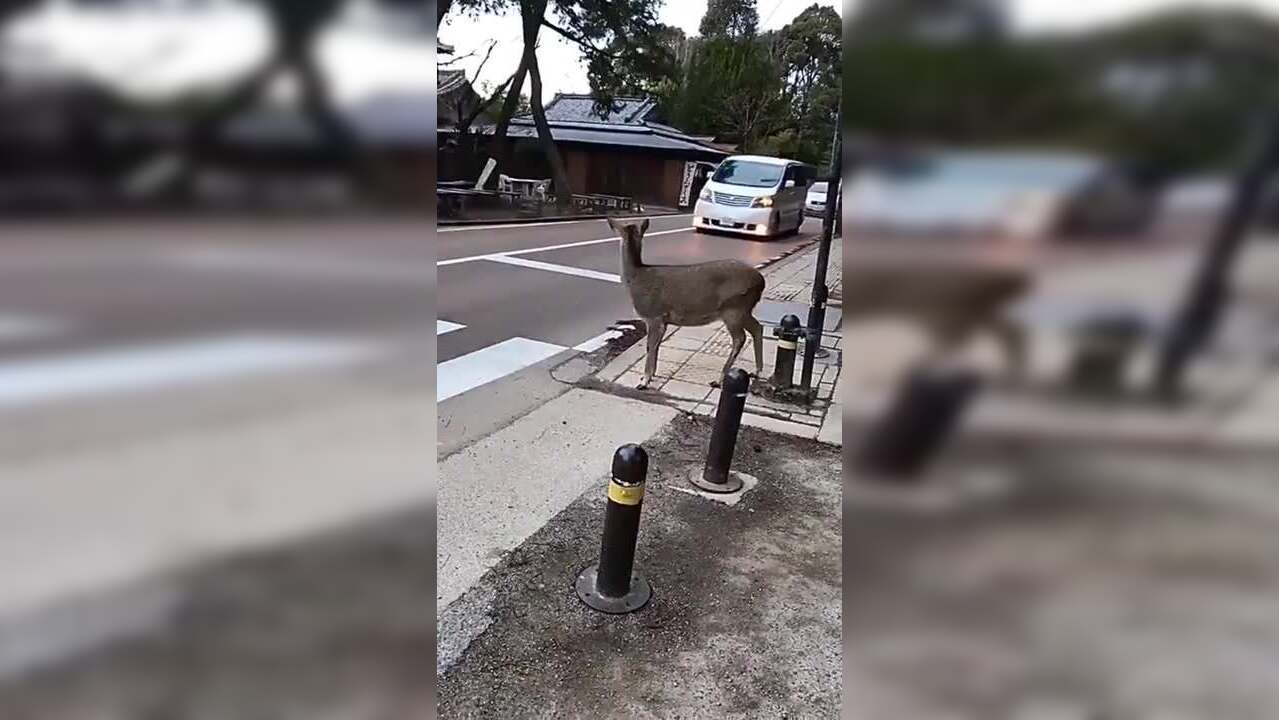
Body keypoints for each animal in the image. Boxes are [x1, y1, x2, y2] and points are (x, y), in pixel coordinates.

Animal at [609, 216, 766, 391]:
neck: (636, 278)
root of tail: (761, 281)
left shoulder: (653, 315)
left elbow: (650, 347)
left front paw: (644, 381)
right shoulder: (663, 320)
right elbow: (656, 346)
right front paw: (652, 375)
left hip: (733, 308)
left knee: (740, 338)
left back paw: (719, 380)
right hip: (744, 309)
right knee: (758, 327)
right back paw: (757, 371)